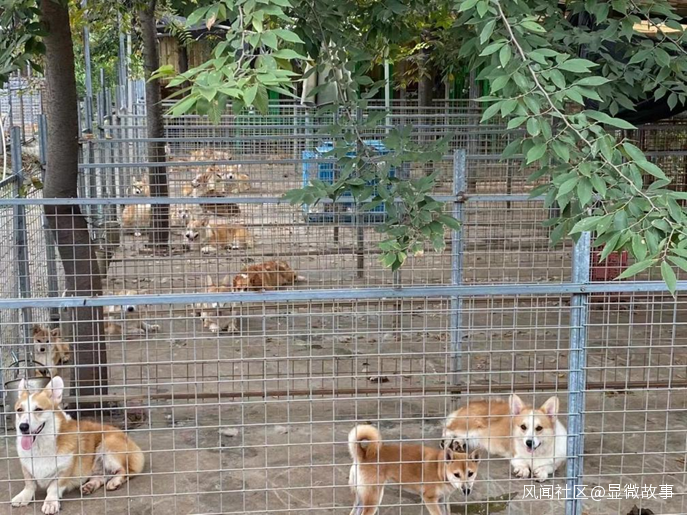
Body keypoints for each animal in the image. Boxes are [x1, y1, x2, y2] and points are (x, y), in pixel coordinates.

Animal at [11, 376, 145, 514]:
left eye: (38, 409)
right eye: (19, 410)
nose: (23, 427)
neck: (40, 445)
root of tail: (130, 440)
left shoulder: (64, 471)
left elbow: (53, 487)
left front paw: (50, 502)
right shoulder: (27, 467)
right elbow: (29, 484)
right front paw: (23, 497)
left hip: (107, 447)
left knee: (126, 471)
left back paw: (115, 481)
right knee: (101, 476)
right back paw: (89, 486)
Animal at [348, 424, 480, 515]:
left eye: (470, 473)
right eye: (456, 474)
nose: (466, 490)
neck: (439, 470)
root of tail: (363, 454)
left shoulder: (443, 500)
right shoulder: (429, 499)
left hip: (361, 499)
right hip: (374, 498)